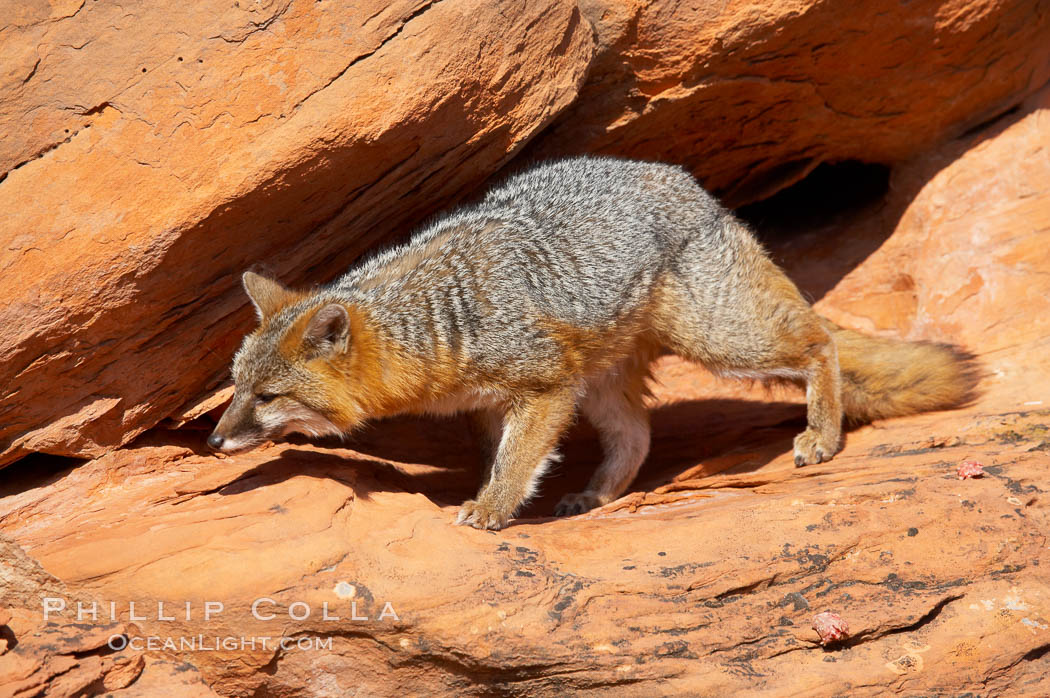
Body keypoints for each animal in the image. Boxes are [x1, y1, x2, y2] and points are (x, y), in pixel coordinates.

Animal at [204, 156, 974, 529]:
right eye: (236, 388)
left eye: (265, 397)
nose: (211, 440)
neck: (437, 317)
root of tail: (688, 182)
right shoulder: (496, 403)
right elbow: (508, 455)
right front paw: (502, 498)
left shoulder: (544, 388)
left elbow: (516, 463)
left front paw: (490, 510)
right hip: (606, 383)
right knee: (638, 436)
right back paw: (598, 496)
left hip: (724, 341)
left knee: (821, 342)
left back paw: (822, 433)